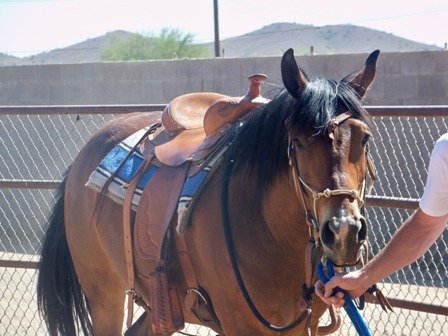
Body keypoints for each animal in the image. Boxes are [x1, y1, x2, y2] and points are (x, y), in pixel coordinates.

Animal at [36, 48, 378, 336]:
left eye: (364, 138)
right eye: (299, 143)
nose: (343, 231)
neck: (268, 232)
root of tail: (83, 157)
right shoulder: (241, 327)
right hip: (103, 294)